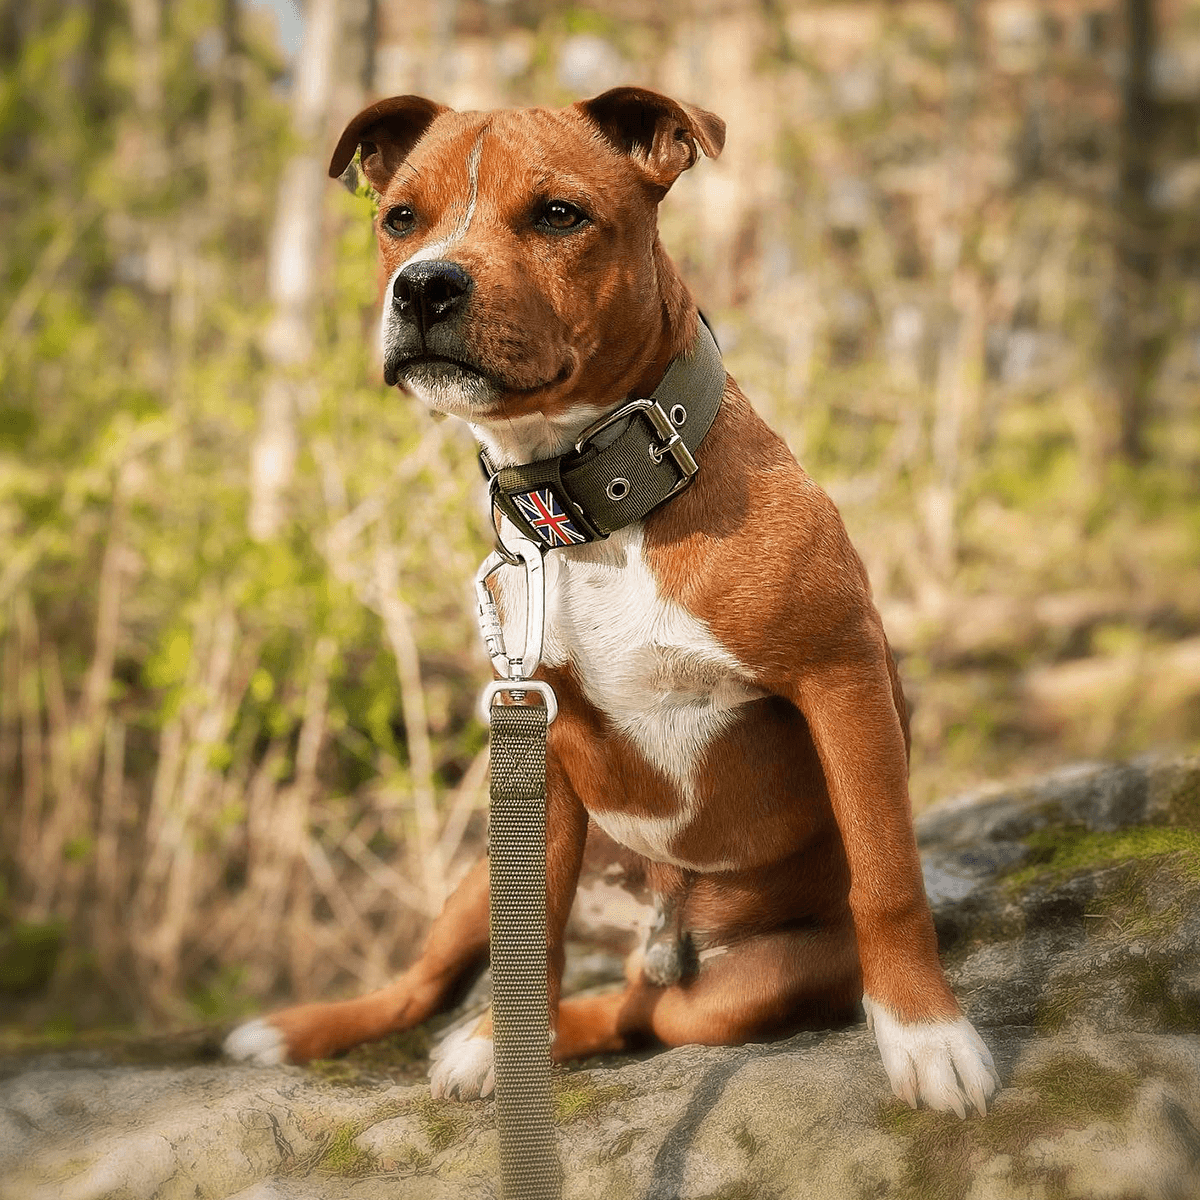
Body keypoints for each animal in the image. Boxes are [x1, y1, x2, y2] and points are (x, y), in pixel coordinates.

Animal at [223, 88, 993, 1118]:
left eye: (559, 214)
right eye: (400, 219)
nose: (423, 287)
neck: (592, 504)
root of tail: (657, 930)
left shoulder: (843, 677)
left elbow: (888, 875)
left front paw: (928, 1036)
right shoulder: (536, 739)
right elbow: (536, 928)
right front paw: (499, 1044)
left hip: (745, 989)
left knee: (639, 1011)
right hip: (479, 876)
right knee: (430, 984)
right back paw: (352, 1033)